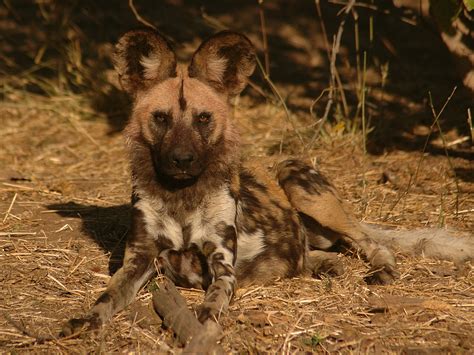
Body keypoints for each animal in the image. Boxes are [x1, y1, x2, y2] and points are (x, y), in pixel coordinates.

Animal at [61, 29, 472, 336]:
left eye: (203, 118)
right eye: (161, 118)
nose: (182, 160)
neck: (182, 196)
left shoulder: (222, 268)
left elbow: (213, 301)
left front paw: (201, 323)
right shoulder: (139, 260)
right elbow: (107, 296)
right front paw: (87, 319)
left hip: (298, 180)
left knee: (369, 242)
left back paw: (381, 269)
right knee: (315, 251)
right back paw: (322, 264)